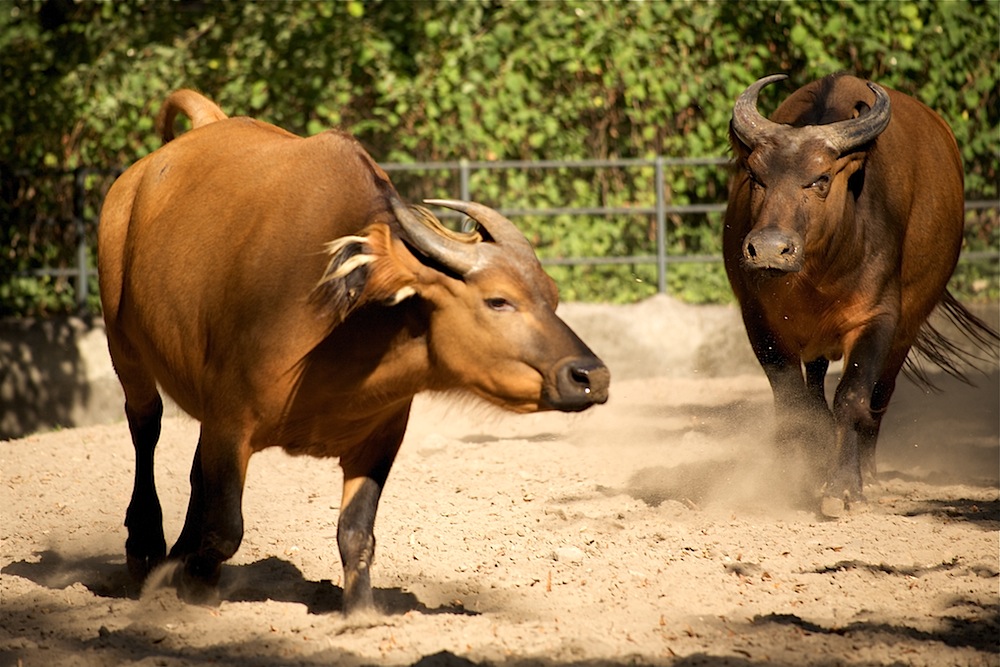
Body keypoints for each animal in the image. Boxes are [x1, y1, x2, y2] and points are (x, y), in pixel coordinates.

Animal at [97, 90, 608, 616]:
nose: (590, 376)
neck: (340, 328)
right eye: (498, 300)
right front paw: (194, 585)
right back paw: (146, 548)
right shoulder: (231, 422)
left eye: (552, 295)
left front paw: (361, 612)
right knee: (146, 425)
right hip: (123, 346)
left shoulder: (379, 437)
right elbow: (225, 530)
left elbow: (356, 533)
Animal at [724, 73, 996, 516]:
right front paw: (793, 479)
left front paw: (843, 487)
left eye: (820, 179)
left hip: (906, 329)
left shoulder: (877, 319)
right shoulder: (760, 323)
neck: (817, 271)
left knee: (879, 396)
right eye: (755, 177)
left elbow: (852, 398)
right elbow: (794, 408)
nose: (768, 250)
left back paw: (868, 472)